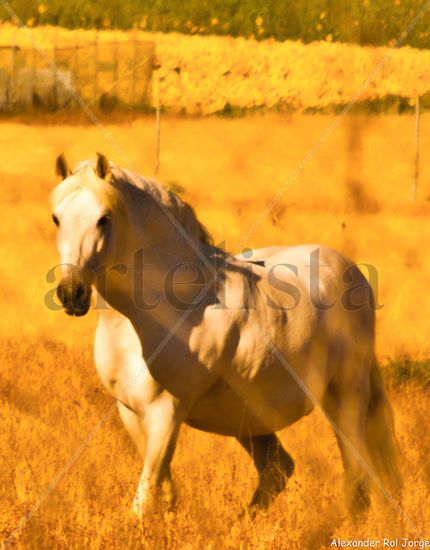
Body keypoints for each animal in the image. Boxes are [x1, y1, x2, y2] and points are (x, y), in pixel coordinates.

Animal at [50, 154, 400, 516]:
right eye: (56, 218)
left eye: (103, 219)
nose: (71, 293)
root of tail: (351, 271)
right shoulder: (131, 411)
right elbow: (164, 491)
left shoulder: (167, 410)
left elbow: (146, 498)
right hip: (252, 416)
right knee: (278, 470)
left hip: (345, 396)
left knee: (356, 480)